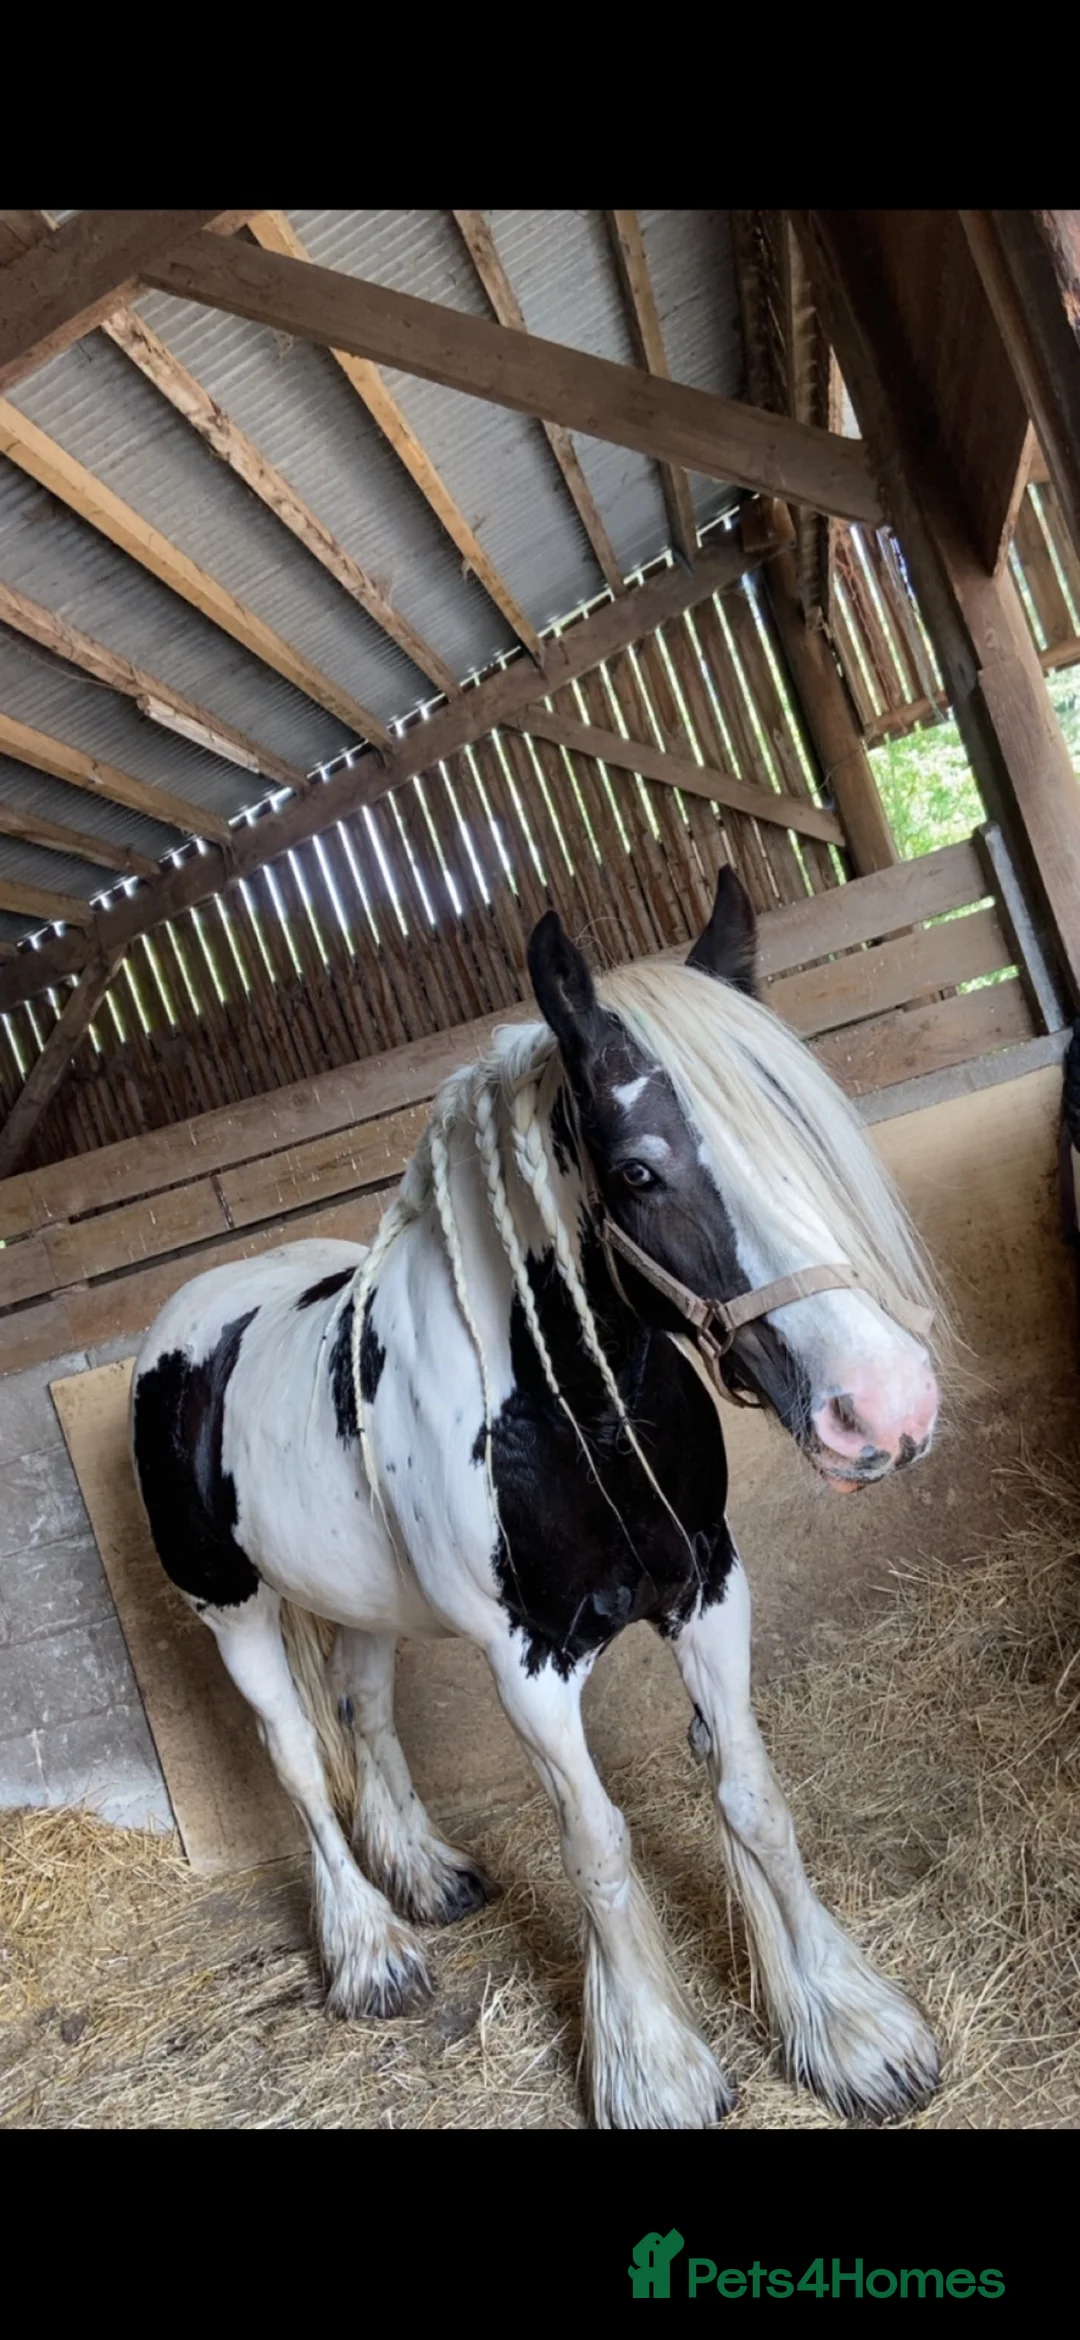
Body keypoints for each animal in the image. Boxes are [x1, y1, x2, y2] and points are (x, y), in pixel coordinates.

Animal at [130, 866, 944, 2130]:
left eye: (799, 1120)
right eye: (638, 1172)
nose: (888, 1409)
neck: (571, 1418)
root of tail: (199, 1312)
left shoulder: (712, 1588)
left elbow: (753, 1797)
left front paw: (849, 2034)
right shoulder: (530, 1665)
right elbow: (598, 1845)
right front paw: (655, 2070)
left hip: (364, 1607)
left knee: (363, 1715)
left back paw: (426, 1875)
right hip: (233, 1614)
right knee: (301, 1763)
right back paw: (372, 1953)